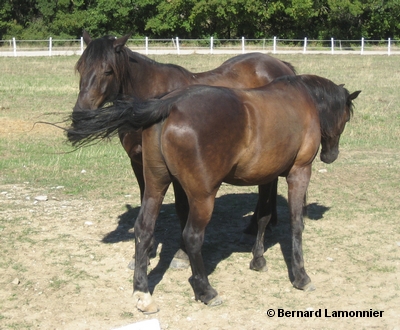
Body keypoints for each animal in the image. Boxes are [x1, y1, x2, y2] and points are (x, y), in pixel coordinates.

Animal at [67, 75, 360, 312]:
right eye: (346, 118)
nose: (331, 155)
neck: (300, 99)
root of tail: (171, 104)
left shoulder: (267, 177)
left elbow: (263, 217)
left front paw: (258, 259)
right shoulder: (298, 172)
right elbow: (296, 224)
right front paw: (300, 275)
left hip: (155, 185)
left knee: (144, 230)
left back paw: (142, 292)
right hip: (202, 197)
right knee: (192, 236)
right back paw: (205, 291)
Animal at [73, 31, 296, 268]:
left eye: (108, 70)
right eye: (80, 67)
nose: (80, 115)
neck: (150, 95)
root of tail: (281, 65)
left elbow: (182, 208)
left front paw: (181, 253)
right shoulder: (139, 162)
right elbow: (146, 201)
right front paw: (145, 254)